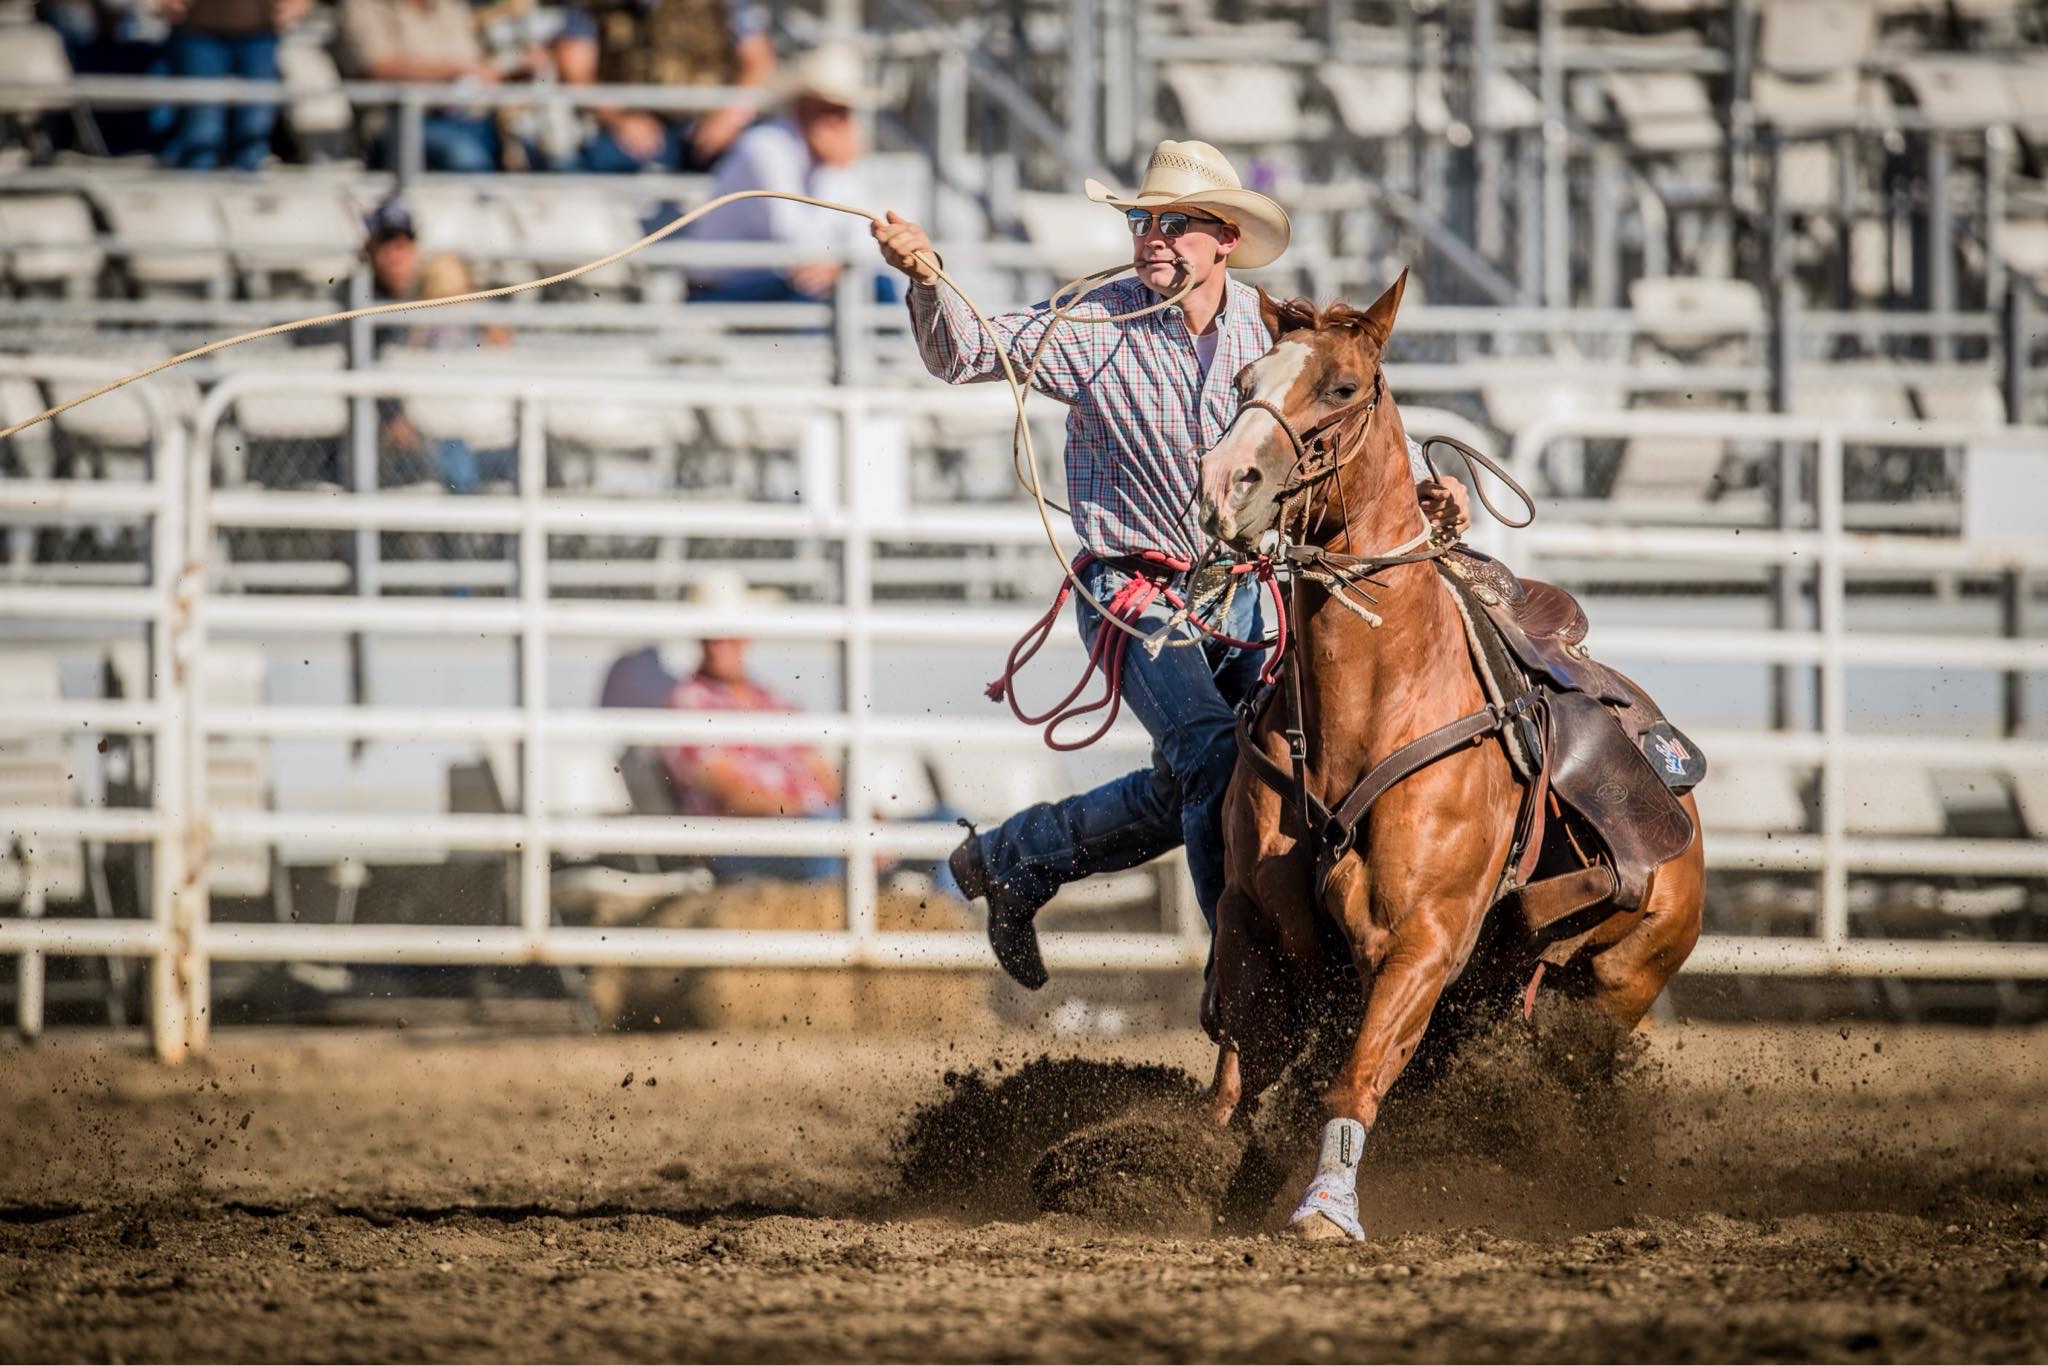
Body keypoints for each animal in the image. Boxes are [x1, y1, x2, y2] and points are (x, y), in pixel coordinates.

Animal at [1196, 272, 1703, 1245]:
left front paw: (1325, 1211)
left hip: (1613, 987)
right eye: (1244, 380)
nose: (1222, 483)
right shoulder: (1254, 920)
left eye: (1343, 387)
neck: (1371, 707)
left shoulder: (1421, 942)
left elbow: (1354, 1077)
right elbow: (1237, 1088)